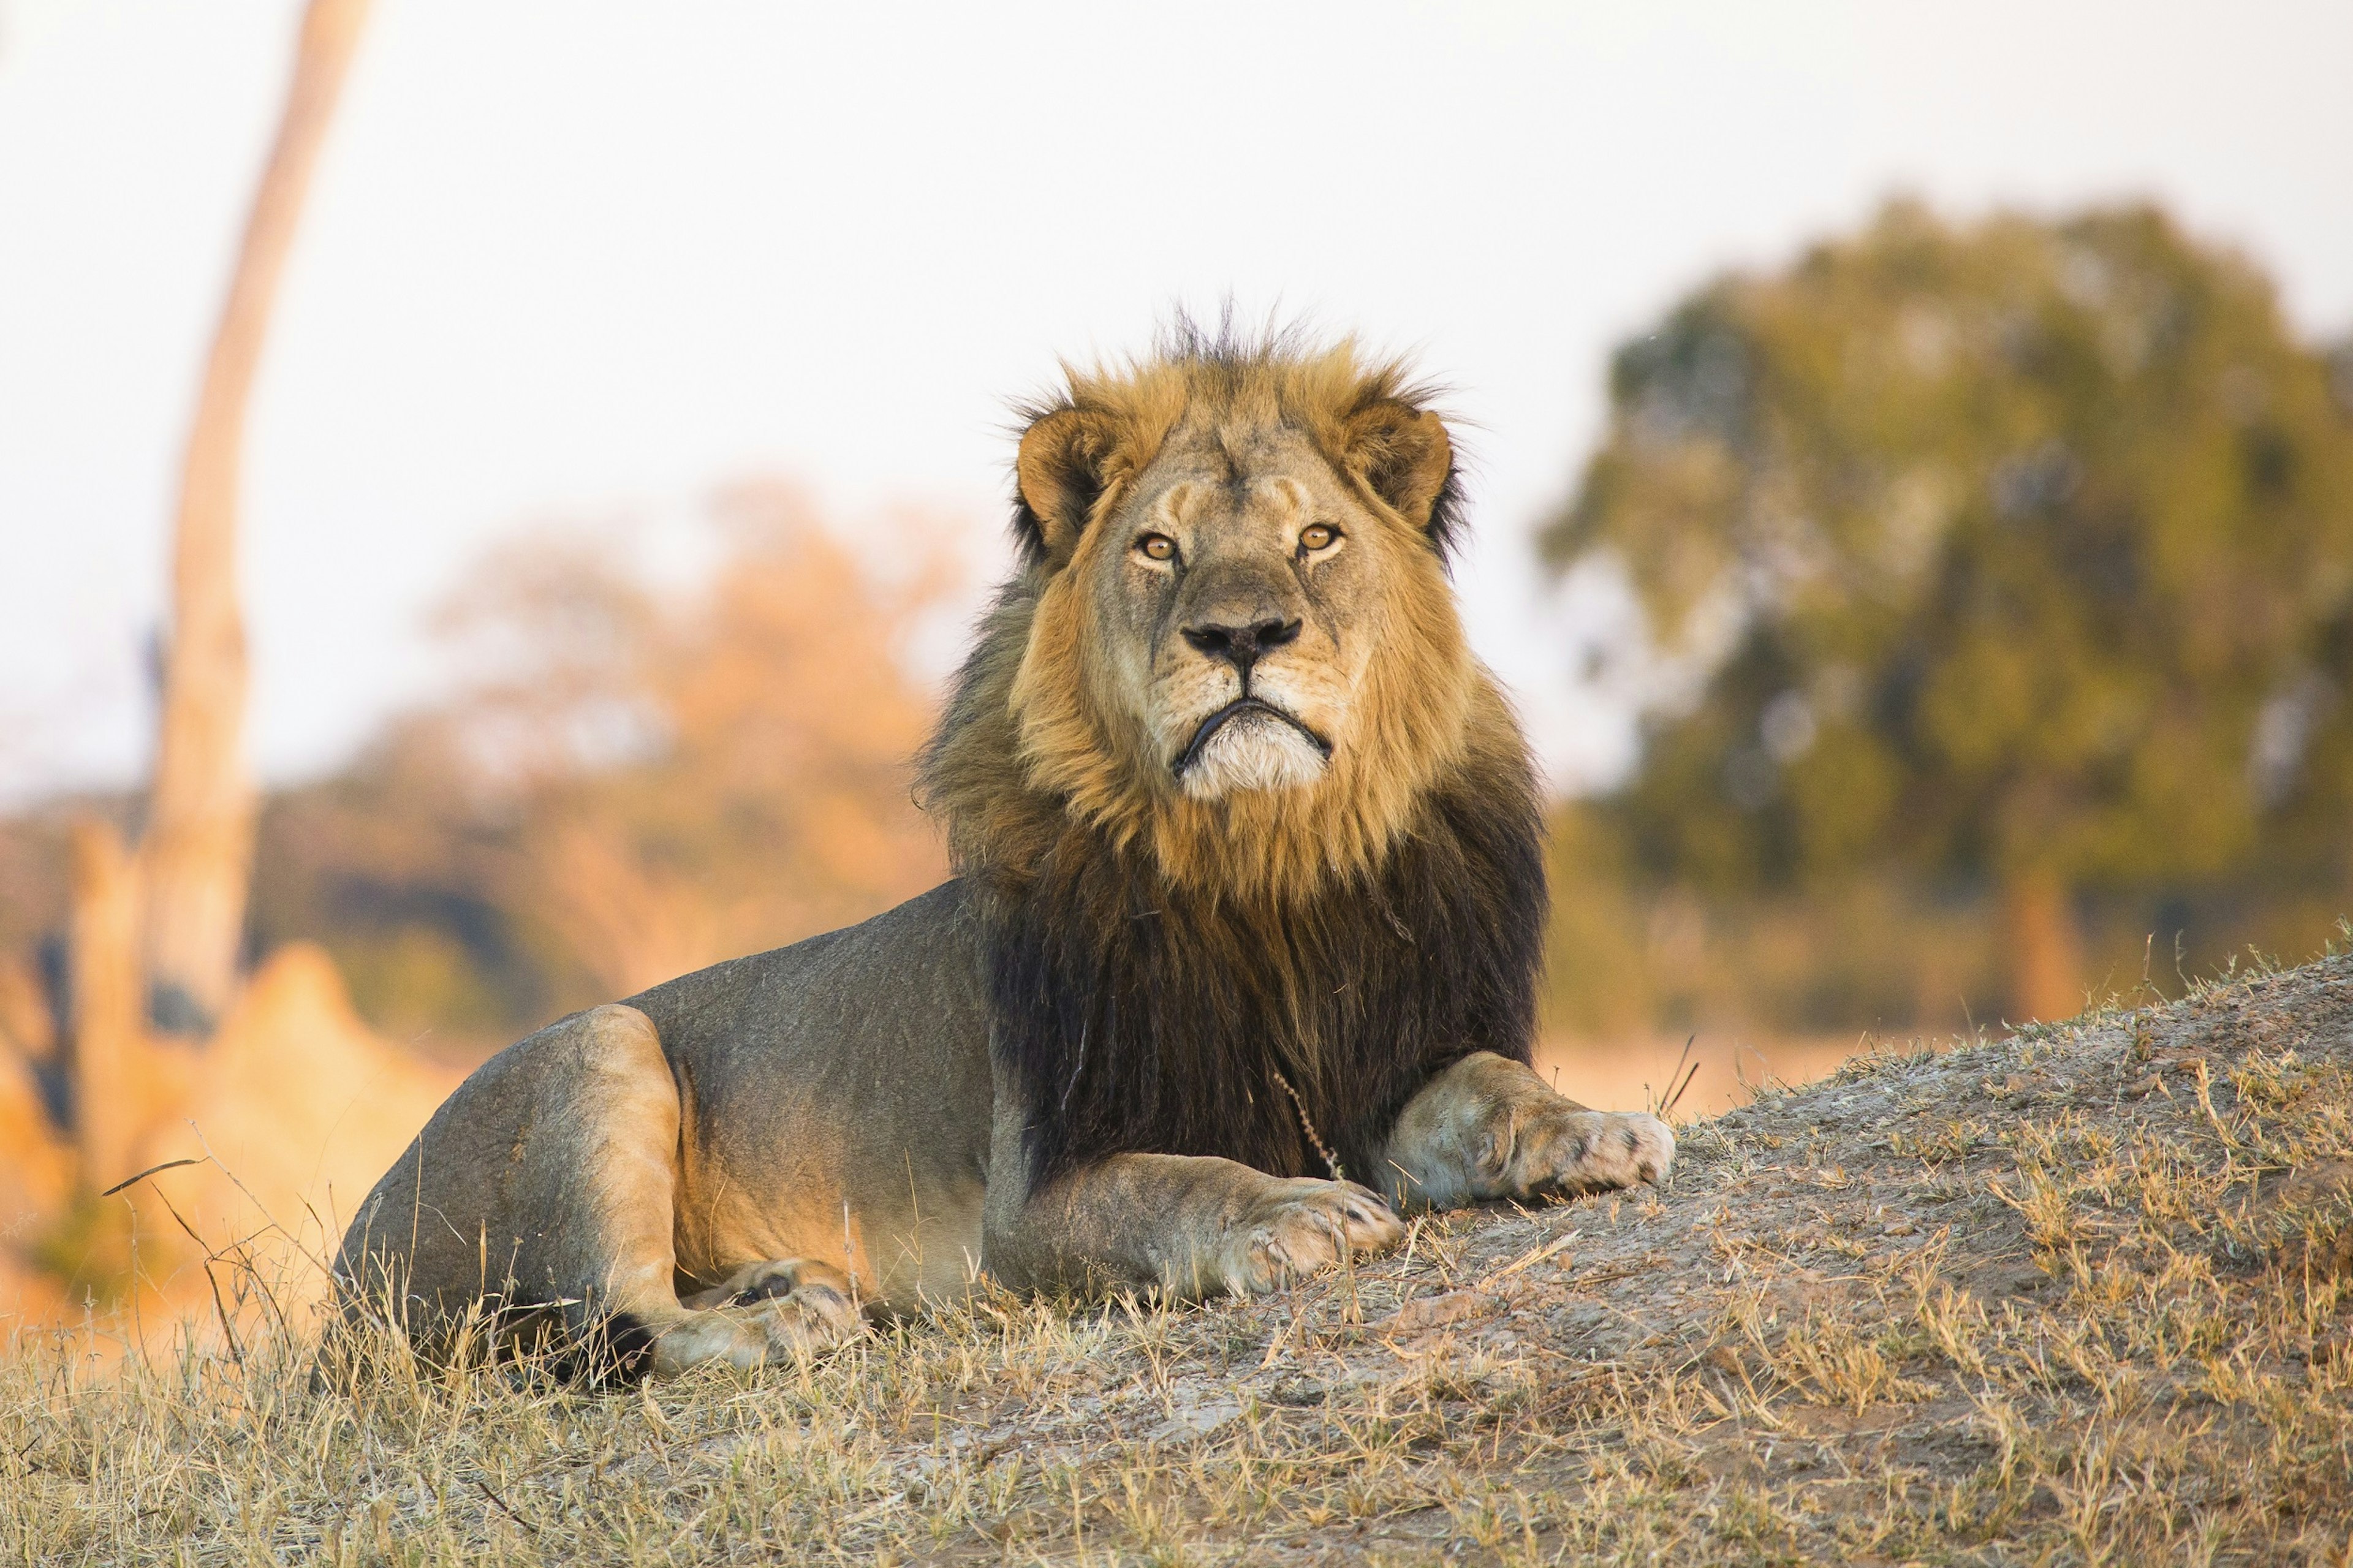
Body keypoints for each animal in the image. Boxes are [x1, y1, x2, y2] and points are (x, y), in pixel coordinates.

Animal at [332, 322, 1675, 1374]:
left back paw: (783, 1281)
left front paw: (1590, 1127)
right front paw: (1290, 1209)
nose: (1243, 634)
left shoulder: (1403, 1052)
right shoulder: (1035, 1192)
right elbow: (1183, 1178)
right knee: (631, 1316)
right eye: (1157, 547)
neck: (1262, 867)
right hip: (602, 1040)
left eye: (1319, 539)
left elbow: (1488, 1083)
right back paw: (782, 1318)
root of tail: (343, 1276)